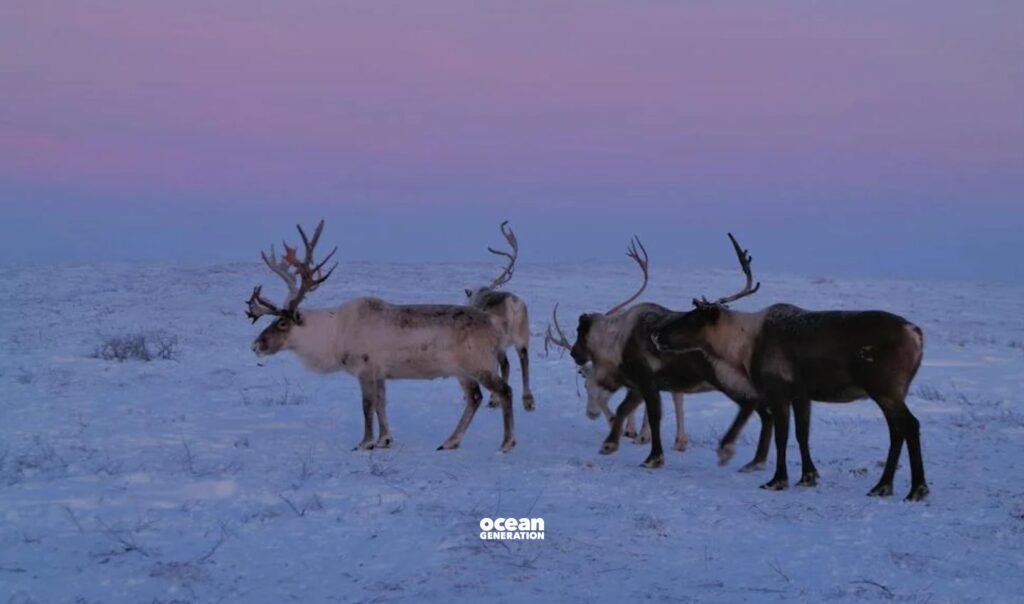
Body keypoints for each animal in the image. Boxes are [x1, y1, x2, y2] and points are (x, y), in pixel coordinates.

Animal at [246, 220, 517, 453]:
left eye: (282, 323)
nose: (255, 345)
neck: (333, 335)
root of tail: (495, 324)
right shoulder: (380, 374)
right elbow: (381, 404)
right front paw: (385, 439)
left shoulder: (365, 369)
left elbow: (367, 407)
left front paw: (365, 442)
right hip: (462, 371)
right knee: (474, 398)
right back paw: (450, 441)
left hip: (479, 365)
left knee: (504, 390)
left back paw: (506, 443)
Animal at [464, 221, 534, 411]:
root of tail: (513, 305)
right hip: (523, 337)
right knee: (524, 360)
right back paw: (528, 400)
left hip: (501, 342)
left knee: (506, 365)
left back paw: (495, 399)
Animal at [557, 237, 774, 470]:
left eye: (580, 331)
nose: (573, 353)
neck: (616, 340)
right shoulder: (640, 384)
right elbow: (625, 409)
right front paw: (612, 443)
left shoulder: (646, 381)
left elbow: (652, 416)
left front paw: (653, 457)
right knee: (765, 413)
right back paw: (756, 461)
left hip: (730, 381)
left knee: (757, 408)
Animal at [651, 237, 929, 501]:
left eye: (693, 317)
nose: (656, 334)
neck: (743, 347)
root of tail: (915, 332)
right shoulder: (801, 395)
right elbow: (802, 434)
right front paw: (808, 476)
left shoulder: (778, 391)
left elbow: (782, 436)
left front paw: (777, 480)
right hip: (890, 393)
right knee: (896, 431)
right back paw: (883, 486)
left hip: (885, 389)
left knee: (909, 425)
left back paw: (916, 489)